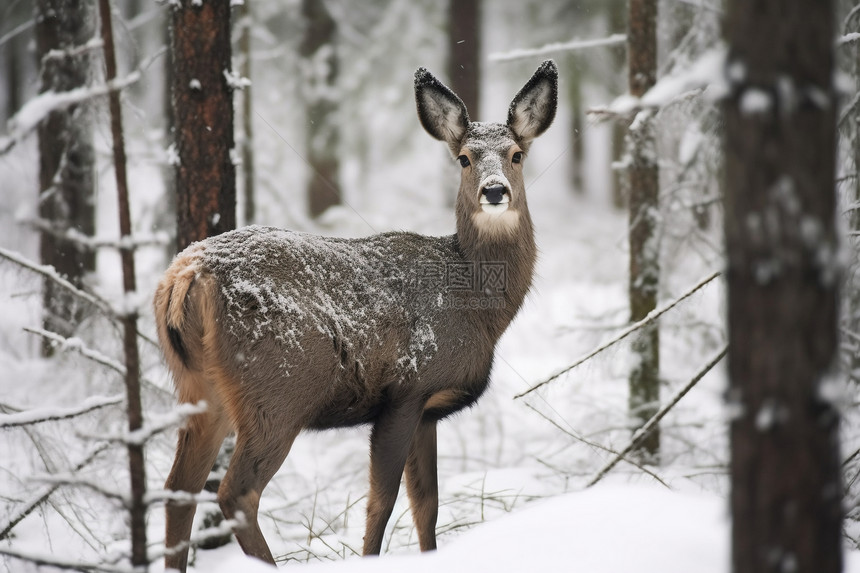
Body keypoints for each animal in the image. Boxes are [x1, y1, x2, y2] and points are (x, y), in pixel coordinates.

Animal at [155, 58, 556, 568]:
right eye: (464, 158)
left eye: (517, 154)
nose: (495, 191)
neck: (477, 305)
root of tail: (185, 276)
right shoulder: (407, 389)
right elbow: (381, 503)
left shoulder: (428, 411)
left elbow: (427, 505)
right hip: (278, 389)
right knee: (235, 493)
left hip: (199, 389)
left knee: (177, 490)